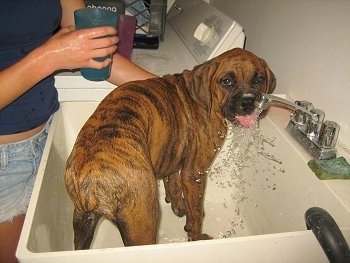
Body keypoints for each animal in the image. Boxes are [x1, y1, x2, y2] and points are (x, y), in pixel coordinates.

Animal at [64, 48, 274, 250]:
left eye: (259, 79)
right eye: (227, 81)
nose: (248, 102)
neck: (203, 97)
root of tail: (90, 174)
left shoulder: (172, 153)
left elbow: (172, 182)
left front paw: (178, 205)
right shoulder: (195, 173)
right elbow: (197, 213)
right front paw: (196, 237)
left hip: (82, 224)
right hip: (143, 223)